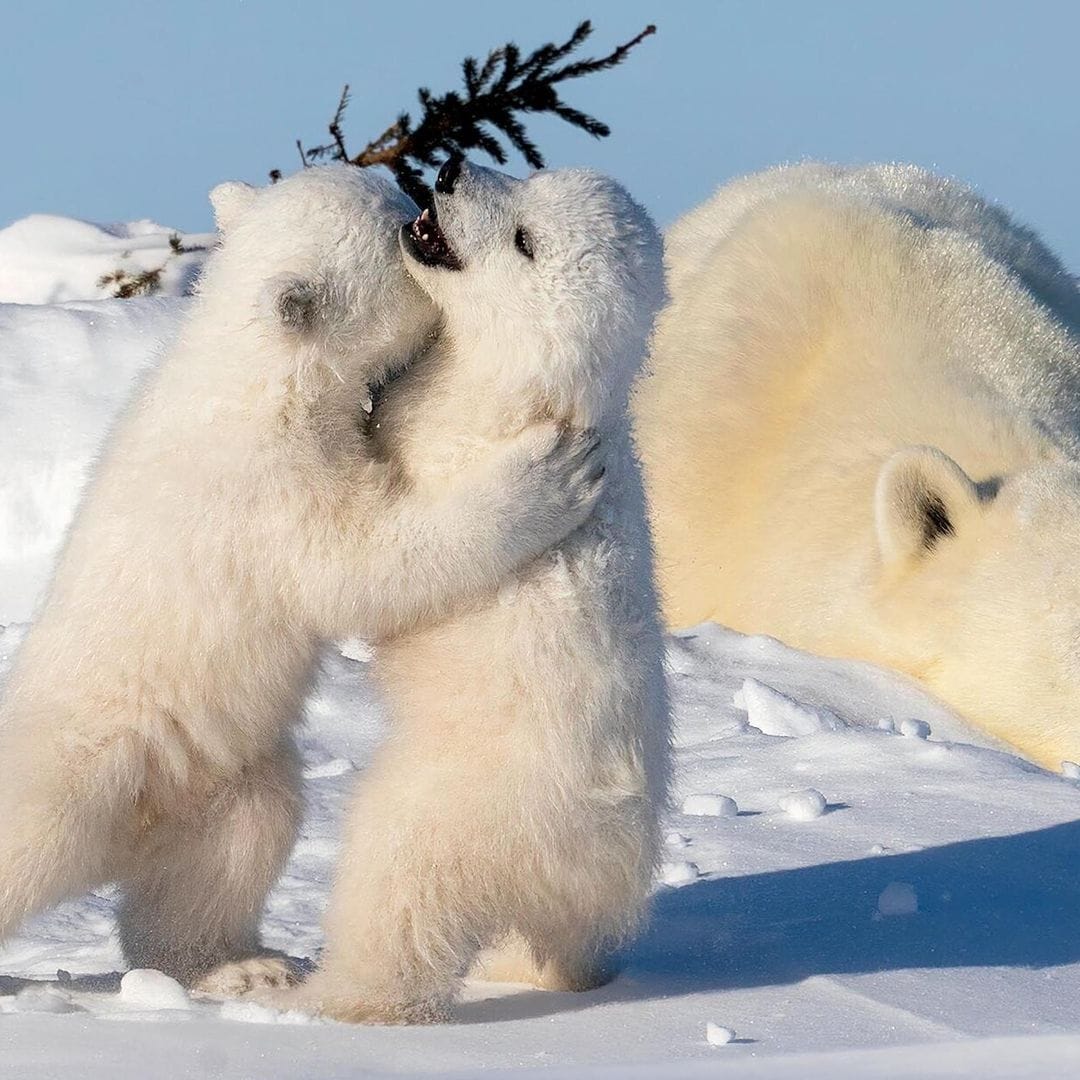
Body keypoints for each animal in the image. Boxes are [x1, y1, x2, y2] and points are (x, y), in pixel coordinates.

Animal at [0, 166, 609, 989]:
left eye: (397, 202)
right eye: (395, 224)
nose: (422, 201)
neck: (251, 377)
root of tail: (124, 827)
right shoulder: (268, 490)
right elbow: (364, 564)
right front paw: (554, 472)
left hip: (218, 775)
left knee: (232, 848)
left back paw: (241, 966)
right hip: (73, 763)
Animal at [291, 157, 669, 1019]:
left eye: (525, 240)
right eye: (532, 174)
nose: (454, 170)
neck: (527, 390)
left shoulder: (449, 439)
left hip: (462, 810)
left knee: (397, 888)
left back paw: (335, 995)